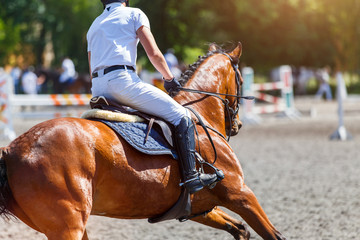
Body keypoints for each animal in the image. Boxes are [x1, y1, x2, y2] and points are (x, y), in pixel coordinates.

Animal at [0, 43, 286, 240]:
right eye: (240, 80)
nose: (237, 126)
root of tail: (11, 150)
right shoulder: (241, 193)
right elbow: (273, 234)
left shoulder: (199, 207)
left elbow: (240, 229)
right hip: (68, 225)